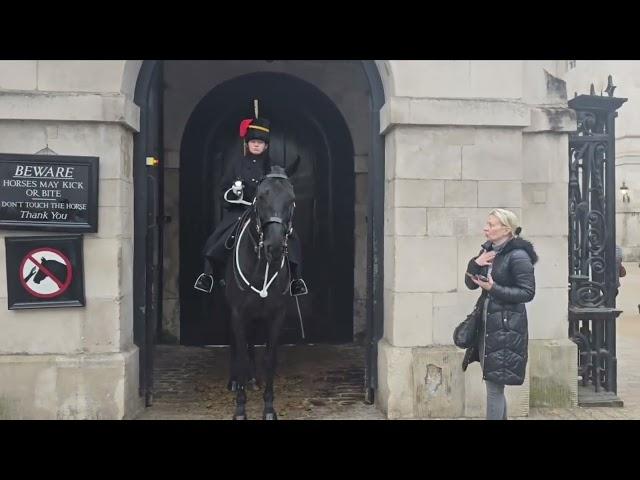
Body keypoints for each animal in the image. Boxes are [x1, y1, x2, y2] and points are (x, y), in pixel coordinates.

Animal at [224, 166, 296, 420]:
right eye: (261, 196)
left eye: (291, 199)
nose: (274, 247)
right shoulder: (237, 314)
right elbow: (241, 355)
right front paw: (240, 408)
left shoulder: (276, 316)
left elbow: (270, 358)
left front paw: (269, 407)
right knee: (236, 345)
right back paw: (235, 381)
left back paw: (253, 379)